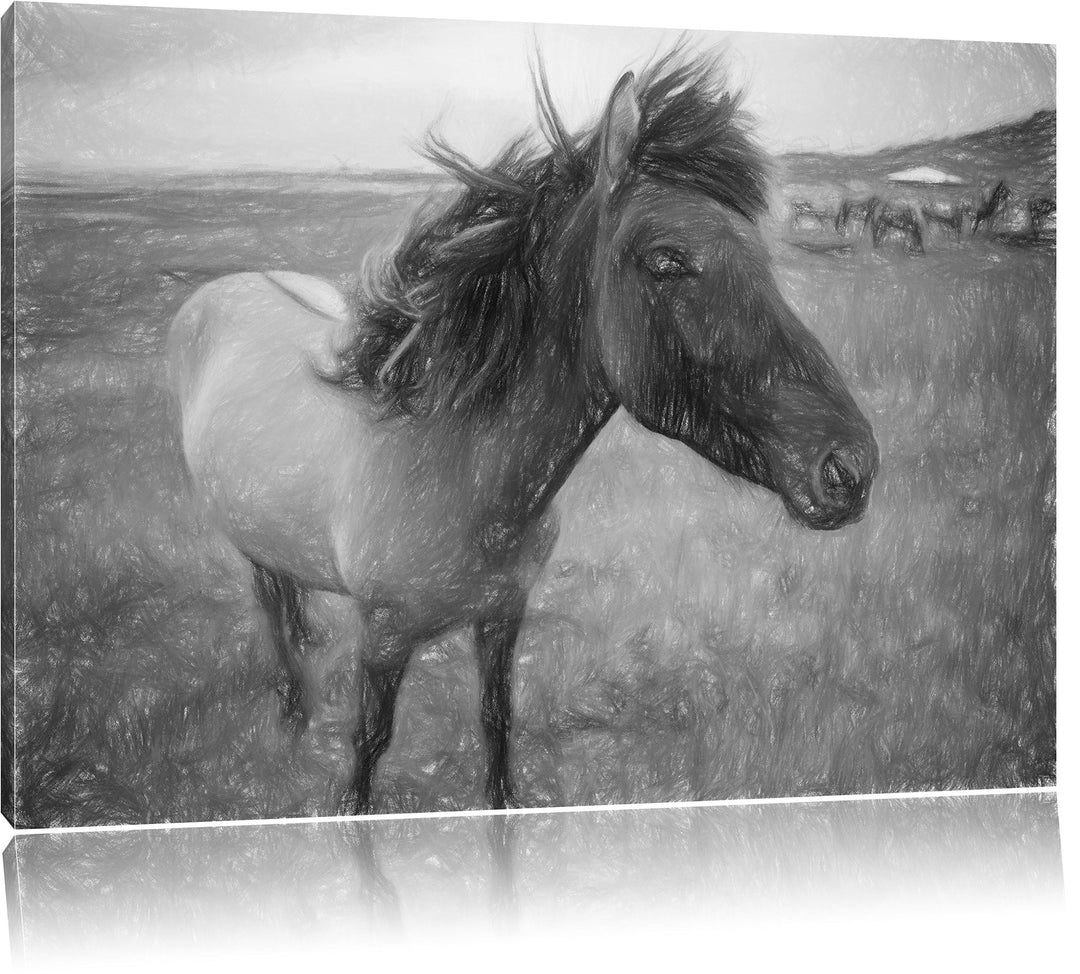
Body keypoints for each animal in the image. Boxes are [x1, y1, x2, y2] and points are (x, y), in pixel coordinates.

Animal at [168, 52, 879, 816]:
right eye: (667, 260)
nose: (850, 468)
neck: (457, 467)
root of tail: (229, 286)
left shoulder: (504, 615)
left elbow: (497, 722)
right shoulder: (383, 636)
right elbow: (368, 745)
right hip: (250, 543)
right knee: (273, 612)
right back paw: (294, 717)